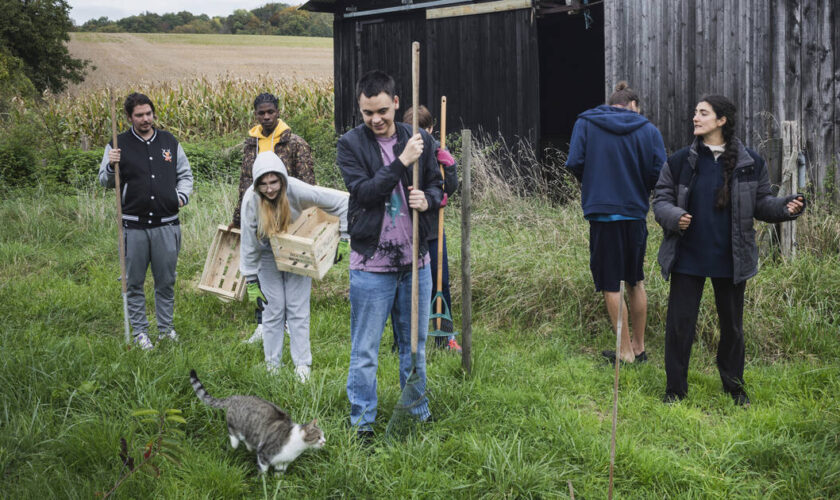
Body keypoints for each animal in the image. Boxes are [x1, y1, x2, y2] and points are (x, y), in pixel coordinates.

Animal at [190, 370, 324, 474]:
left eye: (323, 436)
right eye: (318, 437)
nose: (325, 441)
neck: (297, 447)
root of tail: (235, 397)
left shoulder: (283, 463)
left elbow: (279, 475)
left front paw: (277, 484)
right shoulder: (264, 454)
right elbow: (263, 471)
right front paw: (262, 483)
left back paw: (249, 447)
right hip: (236, 426)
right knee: (233, 435)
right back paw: (235, 445)